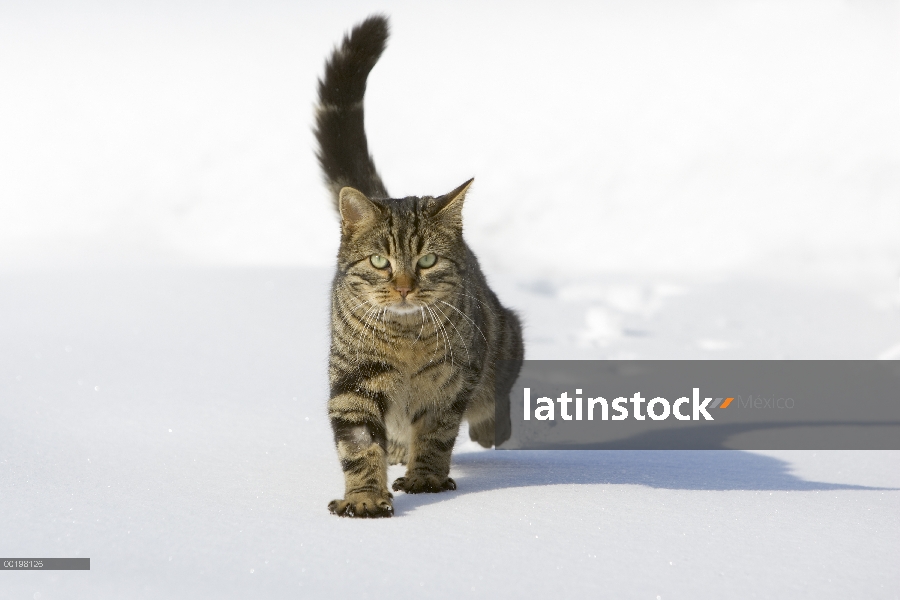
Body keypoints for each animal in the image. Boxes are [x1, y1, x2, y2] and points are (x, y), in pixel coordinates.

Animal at [316, 16, 524, 516]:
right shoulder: (353, 383)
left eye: (427, 259)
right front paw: (364, 498)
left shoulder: (451, 382)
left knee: (494, 401)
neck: (406, 342)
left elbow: (436, 434)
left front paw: (426, 478)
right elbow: (358, 446)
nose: (405, 286)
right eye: (379, 260)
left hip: (504, 337)